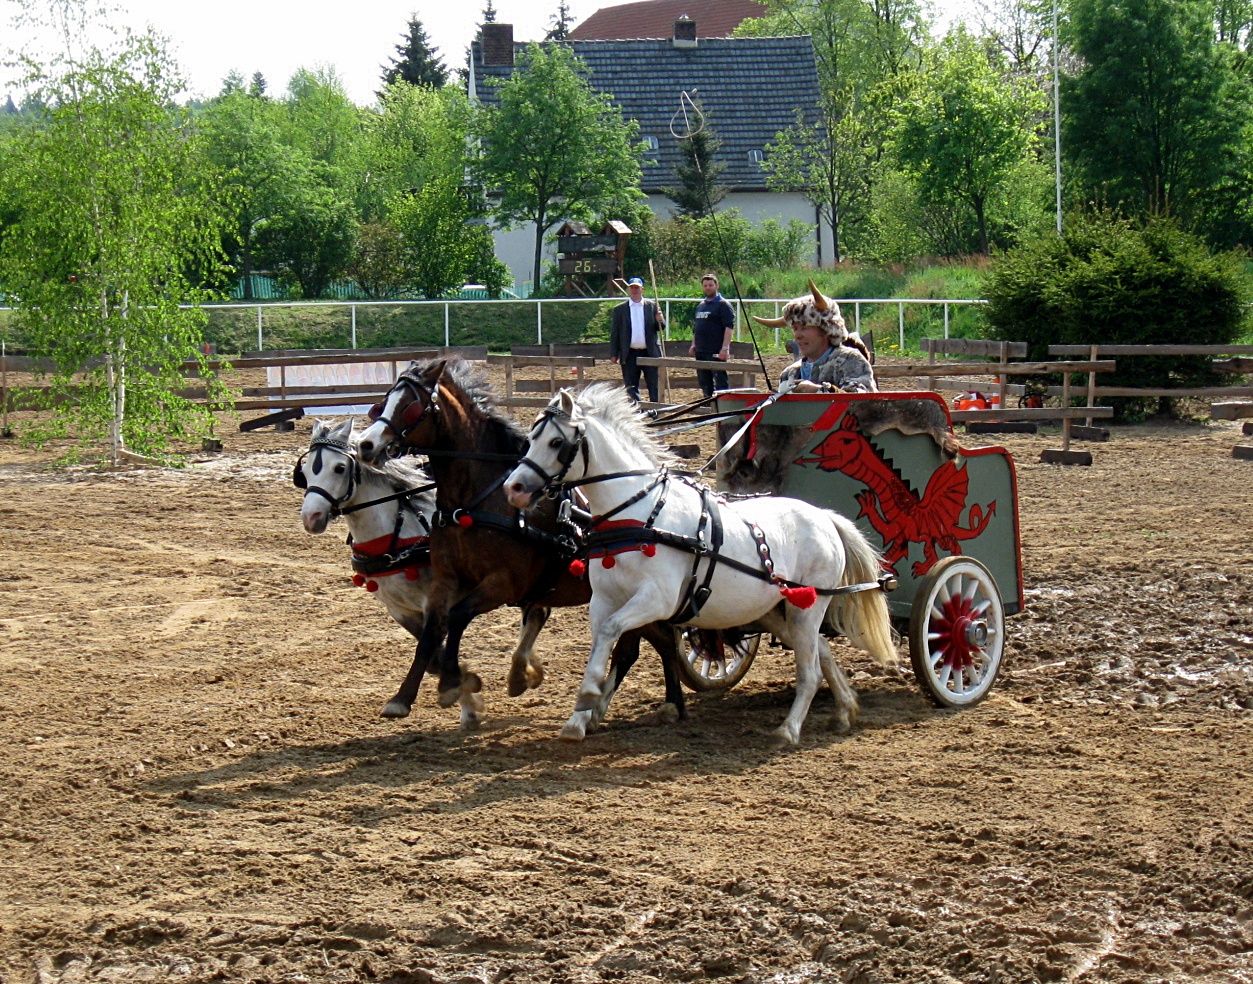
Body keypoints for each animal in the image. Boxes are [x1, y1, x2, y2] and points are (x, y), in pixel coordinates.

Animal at [295, 416, 551, 727]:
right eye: (305, 471)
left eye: (340, 468)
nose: (311, 518)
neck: (396, 534)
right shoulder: (398, 608)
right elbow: (432, 657)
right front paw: (468, 695)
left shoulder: (436, 599)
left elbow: (432, 645)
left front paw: (462, 693)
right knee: (536, 613)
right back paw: (526, 671)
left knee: (537, 612)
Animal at [353, 355, 691, 732]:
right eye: (383, 401)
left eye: (410, 405)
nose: (366, 445)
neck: (473, 501)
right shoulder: (446, 578)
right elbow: (430, 631)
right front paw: (403, 697)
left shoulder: (504, 583)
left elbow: (457, 617)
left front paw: (454, 682)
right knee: (645, 642)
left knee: (659, 640)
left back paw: (669, 703)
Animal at [501, 383, 902, 747]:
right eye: (530, 438)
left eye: (556, 443)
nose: (514, 488)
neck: (639, 514)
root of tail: (824, 517)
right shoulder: (603, 599)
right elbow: (603, 638)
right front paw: (580, 716)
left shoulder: (658, 600)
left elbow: (611, 632)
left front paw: (589, 697)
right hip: (776, 611)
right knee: (821, 650)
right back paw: (845, 710)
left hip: (808, 607)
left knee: (810, 671)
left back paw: (789, 730)